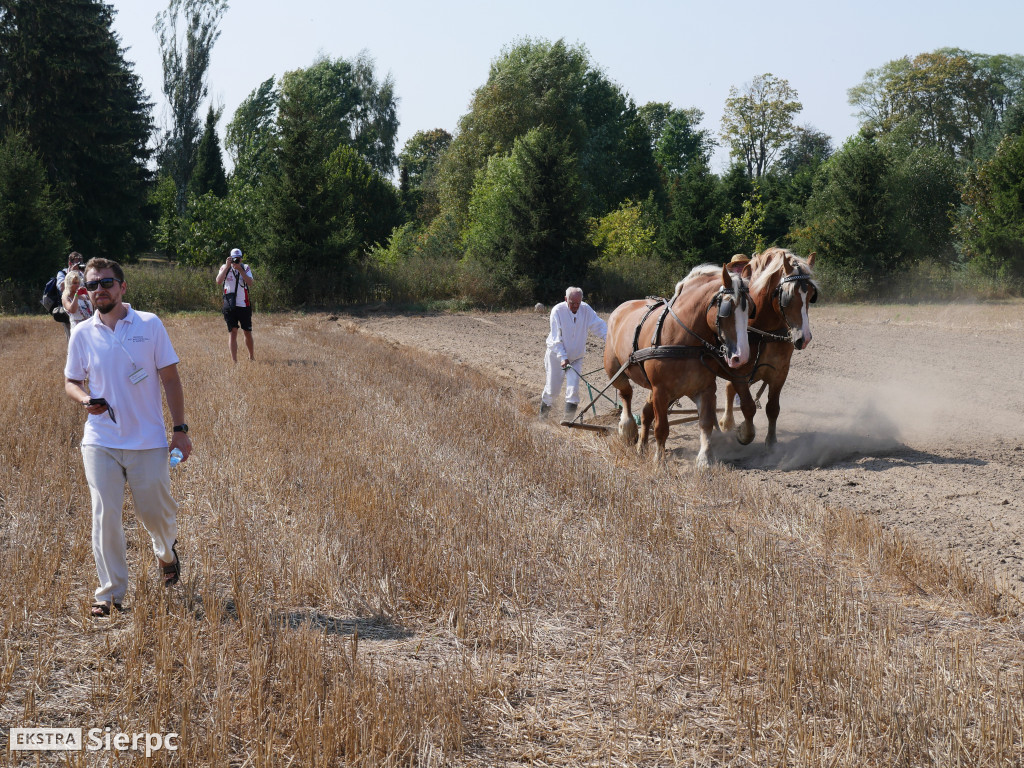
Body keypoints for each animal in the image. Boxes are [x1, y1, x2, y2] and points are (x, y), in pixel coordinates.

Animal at [602, 264, 757, 468]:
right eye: (727, 308)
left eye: (750, 309)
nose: (742, 356)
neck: (684, 339)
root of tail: (622, 307)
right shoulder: (660, 390)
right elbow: (661, 427)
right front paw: (659, 460)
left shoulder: (705, 389)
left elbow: (706, 422)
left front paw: (704, 459)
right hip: (615, 370)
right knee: (626, 393)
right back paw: (627, 428)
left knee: (645, 413)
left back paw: (641, 447)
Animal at [684, 249, 819, 448]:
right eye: (787, 296)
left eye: (810, 295)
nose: (805, 338)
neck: (764, 332)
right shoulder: (739, 372)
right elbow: (748, 407)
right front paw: (744, 433)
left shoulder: (780, 372)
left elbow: (773, 408)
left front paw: (771, 442)